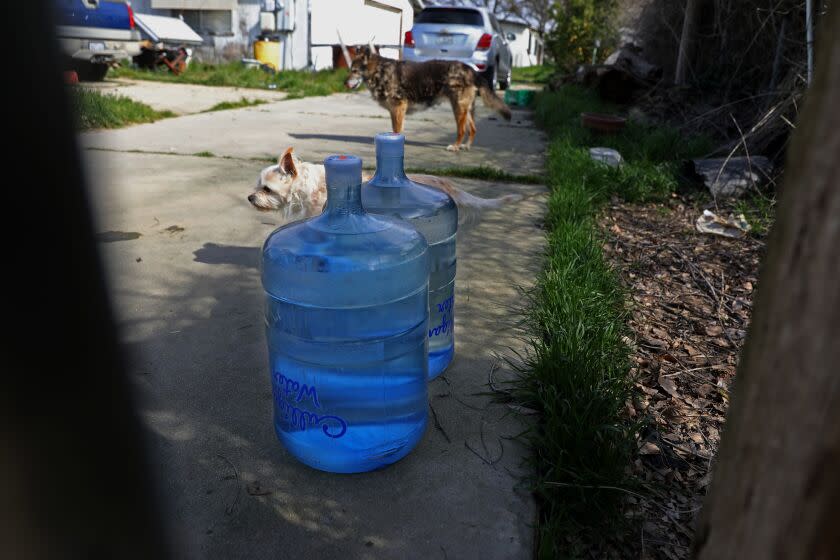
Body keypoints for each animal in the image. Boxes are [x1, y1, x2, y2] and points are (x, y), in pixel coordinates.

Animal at [342, 46, 512, 152]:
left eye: (354, 71)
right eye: (350, 70)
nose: (344, 83)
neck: (379, 71)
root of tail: (470, 69)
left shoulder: (398, 107)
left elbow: (397, 130)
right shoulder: (395, 110)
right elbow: (396, 129)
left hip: (458, 107)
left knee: (462, 130)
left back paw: (455, 147)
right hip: (466, 108)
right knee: (473, 129)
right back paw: (465, 146)